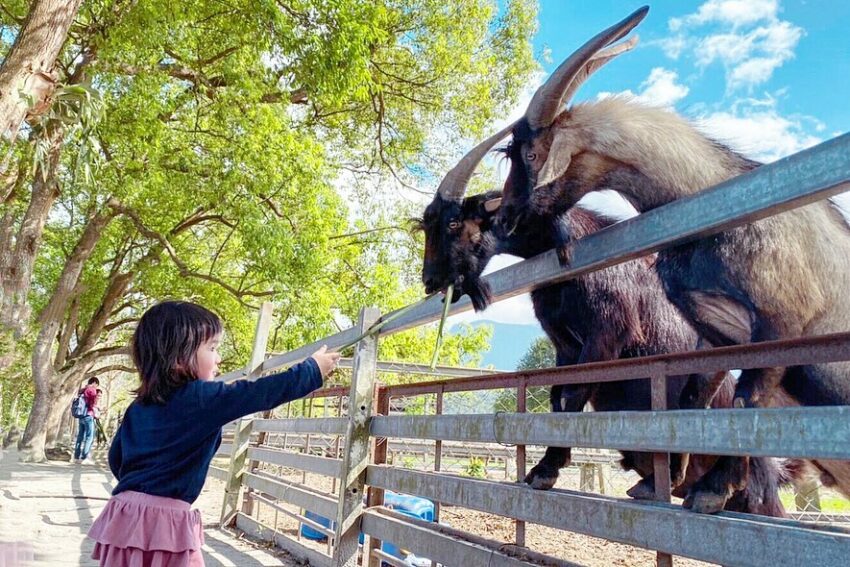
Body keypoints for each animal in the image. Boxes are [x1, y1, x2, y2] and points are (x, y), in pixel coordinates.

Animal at [484, 5, 848, 516]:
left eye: (532, 154)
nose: (505, 215)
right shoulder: (715, 333)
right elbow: (692, 397)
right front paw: (671, 475)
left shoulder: (782, 321)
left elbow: (745, 402)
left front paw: (711, 488)